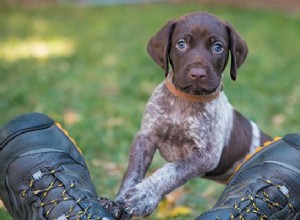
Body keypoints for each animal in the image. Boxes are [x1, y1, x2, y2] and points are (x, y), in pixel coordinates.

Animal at [116, 11, 270, 217]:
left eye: (217, 47)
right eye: (181, 44)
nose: (197, 74)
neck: (184, 101)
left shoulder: (206, 155)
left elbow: (172, 170)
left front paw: (144, 195)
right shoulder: (145, 137)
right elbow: (131, 174)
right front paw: (117, 203)